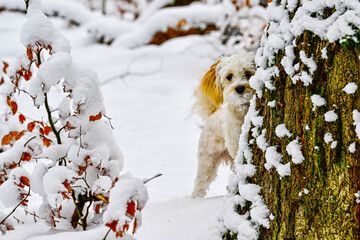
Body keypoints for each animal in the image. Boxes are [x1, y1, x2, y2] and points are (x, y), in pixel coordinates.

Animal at [191, 52, 256, 197]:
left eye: (248, 73)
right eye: (229, 76)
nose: (239, 88)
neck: (243, 113)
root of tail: (212, 114)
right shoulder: (236, 147)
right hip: (207, 161)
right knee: (200, 184)